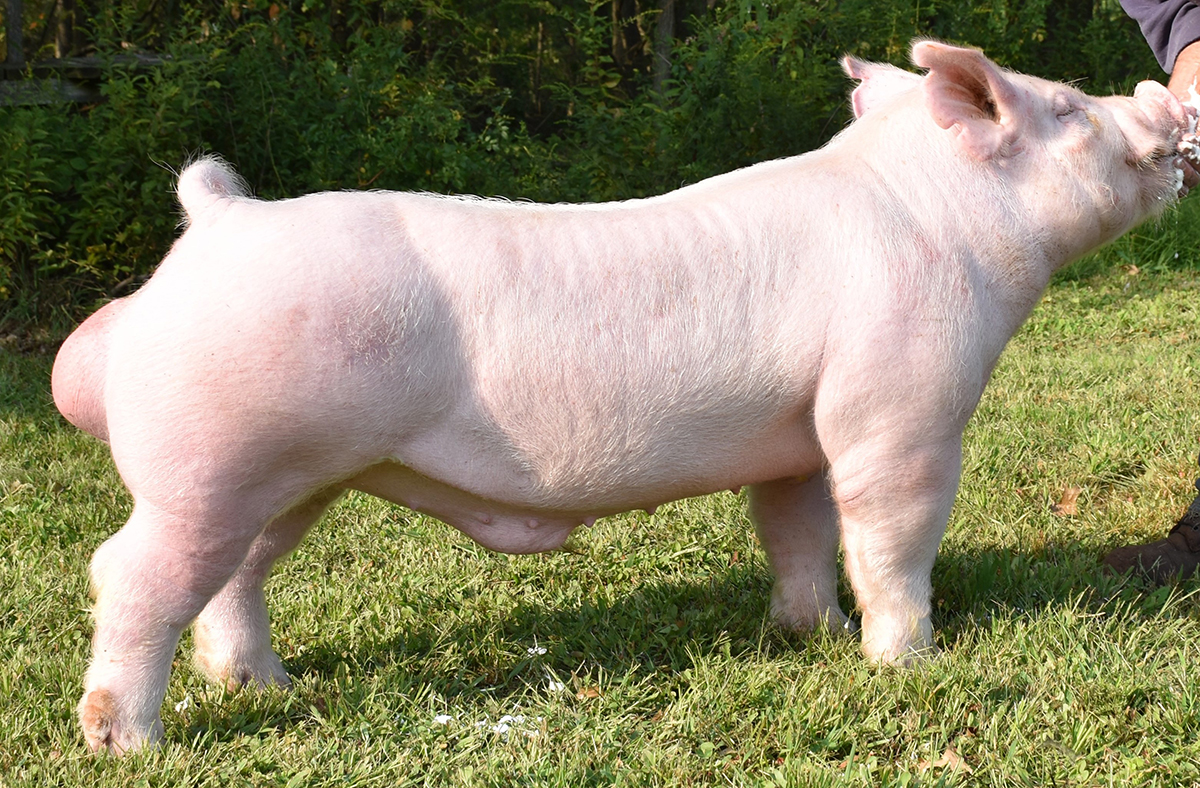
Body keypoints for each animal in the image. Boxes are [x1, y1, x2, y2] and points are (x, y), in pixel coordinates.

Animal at [52, 40, 1189, 753]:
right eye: (1067, 107)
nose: (1164, 100)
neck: (945, 223)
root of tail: (214, 224)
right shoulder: (898, 410)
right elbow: (892, 533)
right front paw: (909, 659)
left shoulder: (799, 436)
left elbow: (798, 531)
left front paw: (809, 636)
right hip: (209, 466)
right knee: (132, 573)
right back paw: (129, 741)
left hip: (285, 477)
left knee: (236, 576)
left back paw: (264, 686)